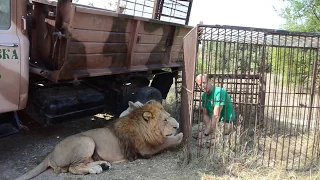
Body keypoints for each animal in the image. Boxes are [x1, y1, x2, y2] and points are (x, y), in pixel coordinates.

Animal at [15, 102, 182, 179]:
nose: (178, 124)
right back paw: (95, 169)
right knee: (73, 168)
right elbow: (165, 142)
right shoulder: (146, 150)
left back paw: (102, 164)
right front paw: (180, 136)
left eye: (169, 116)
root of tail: (50, 154)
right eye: (165, 120)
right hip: (87, 141)